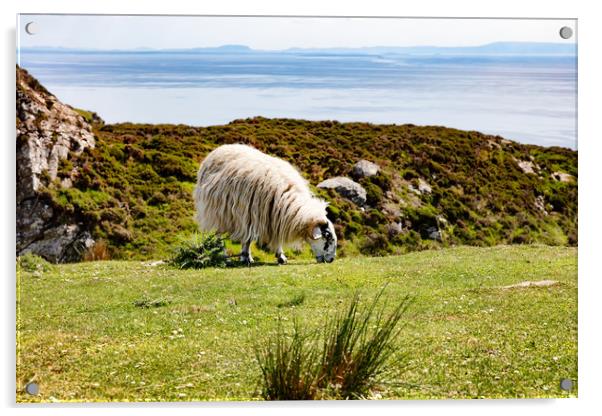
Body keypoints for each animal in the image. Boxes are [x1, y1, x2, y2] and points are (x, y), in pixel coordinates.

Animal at [192, 145, 336, 264]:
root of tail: (218, 149)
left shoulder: (275, 217)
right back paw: (223, 256)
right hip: (217, 210)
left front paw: (279, 256)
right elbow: (248, 238)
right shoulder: (251, 214)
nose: (331, 259)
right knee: (219, 236)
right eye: (328, 238)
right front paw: (246, 257)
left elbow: (273, 237)